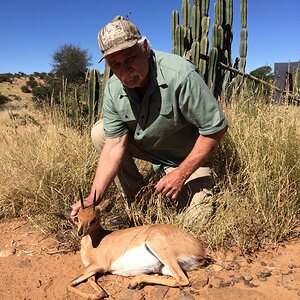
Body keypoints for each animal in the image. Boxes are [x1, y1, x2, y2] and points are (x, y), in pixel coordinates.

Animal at [68, 193, 206, 298]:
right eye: (78, 217)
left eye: (93, 220)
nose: (80, 232)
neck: (96, 241)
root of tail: (201, 250)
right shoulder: (93, 269)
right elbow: (87, 280)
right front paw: (101, 293)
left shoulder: (99, 265)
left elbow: (69, 284)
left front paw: (98, 295)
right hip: (164, 267)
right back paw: (136, 283)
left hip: (160, 250)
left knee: (183, 279)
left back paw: (134, 283)